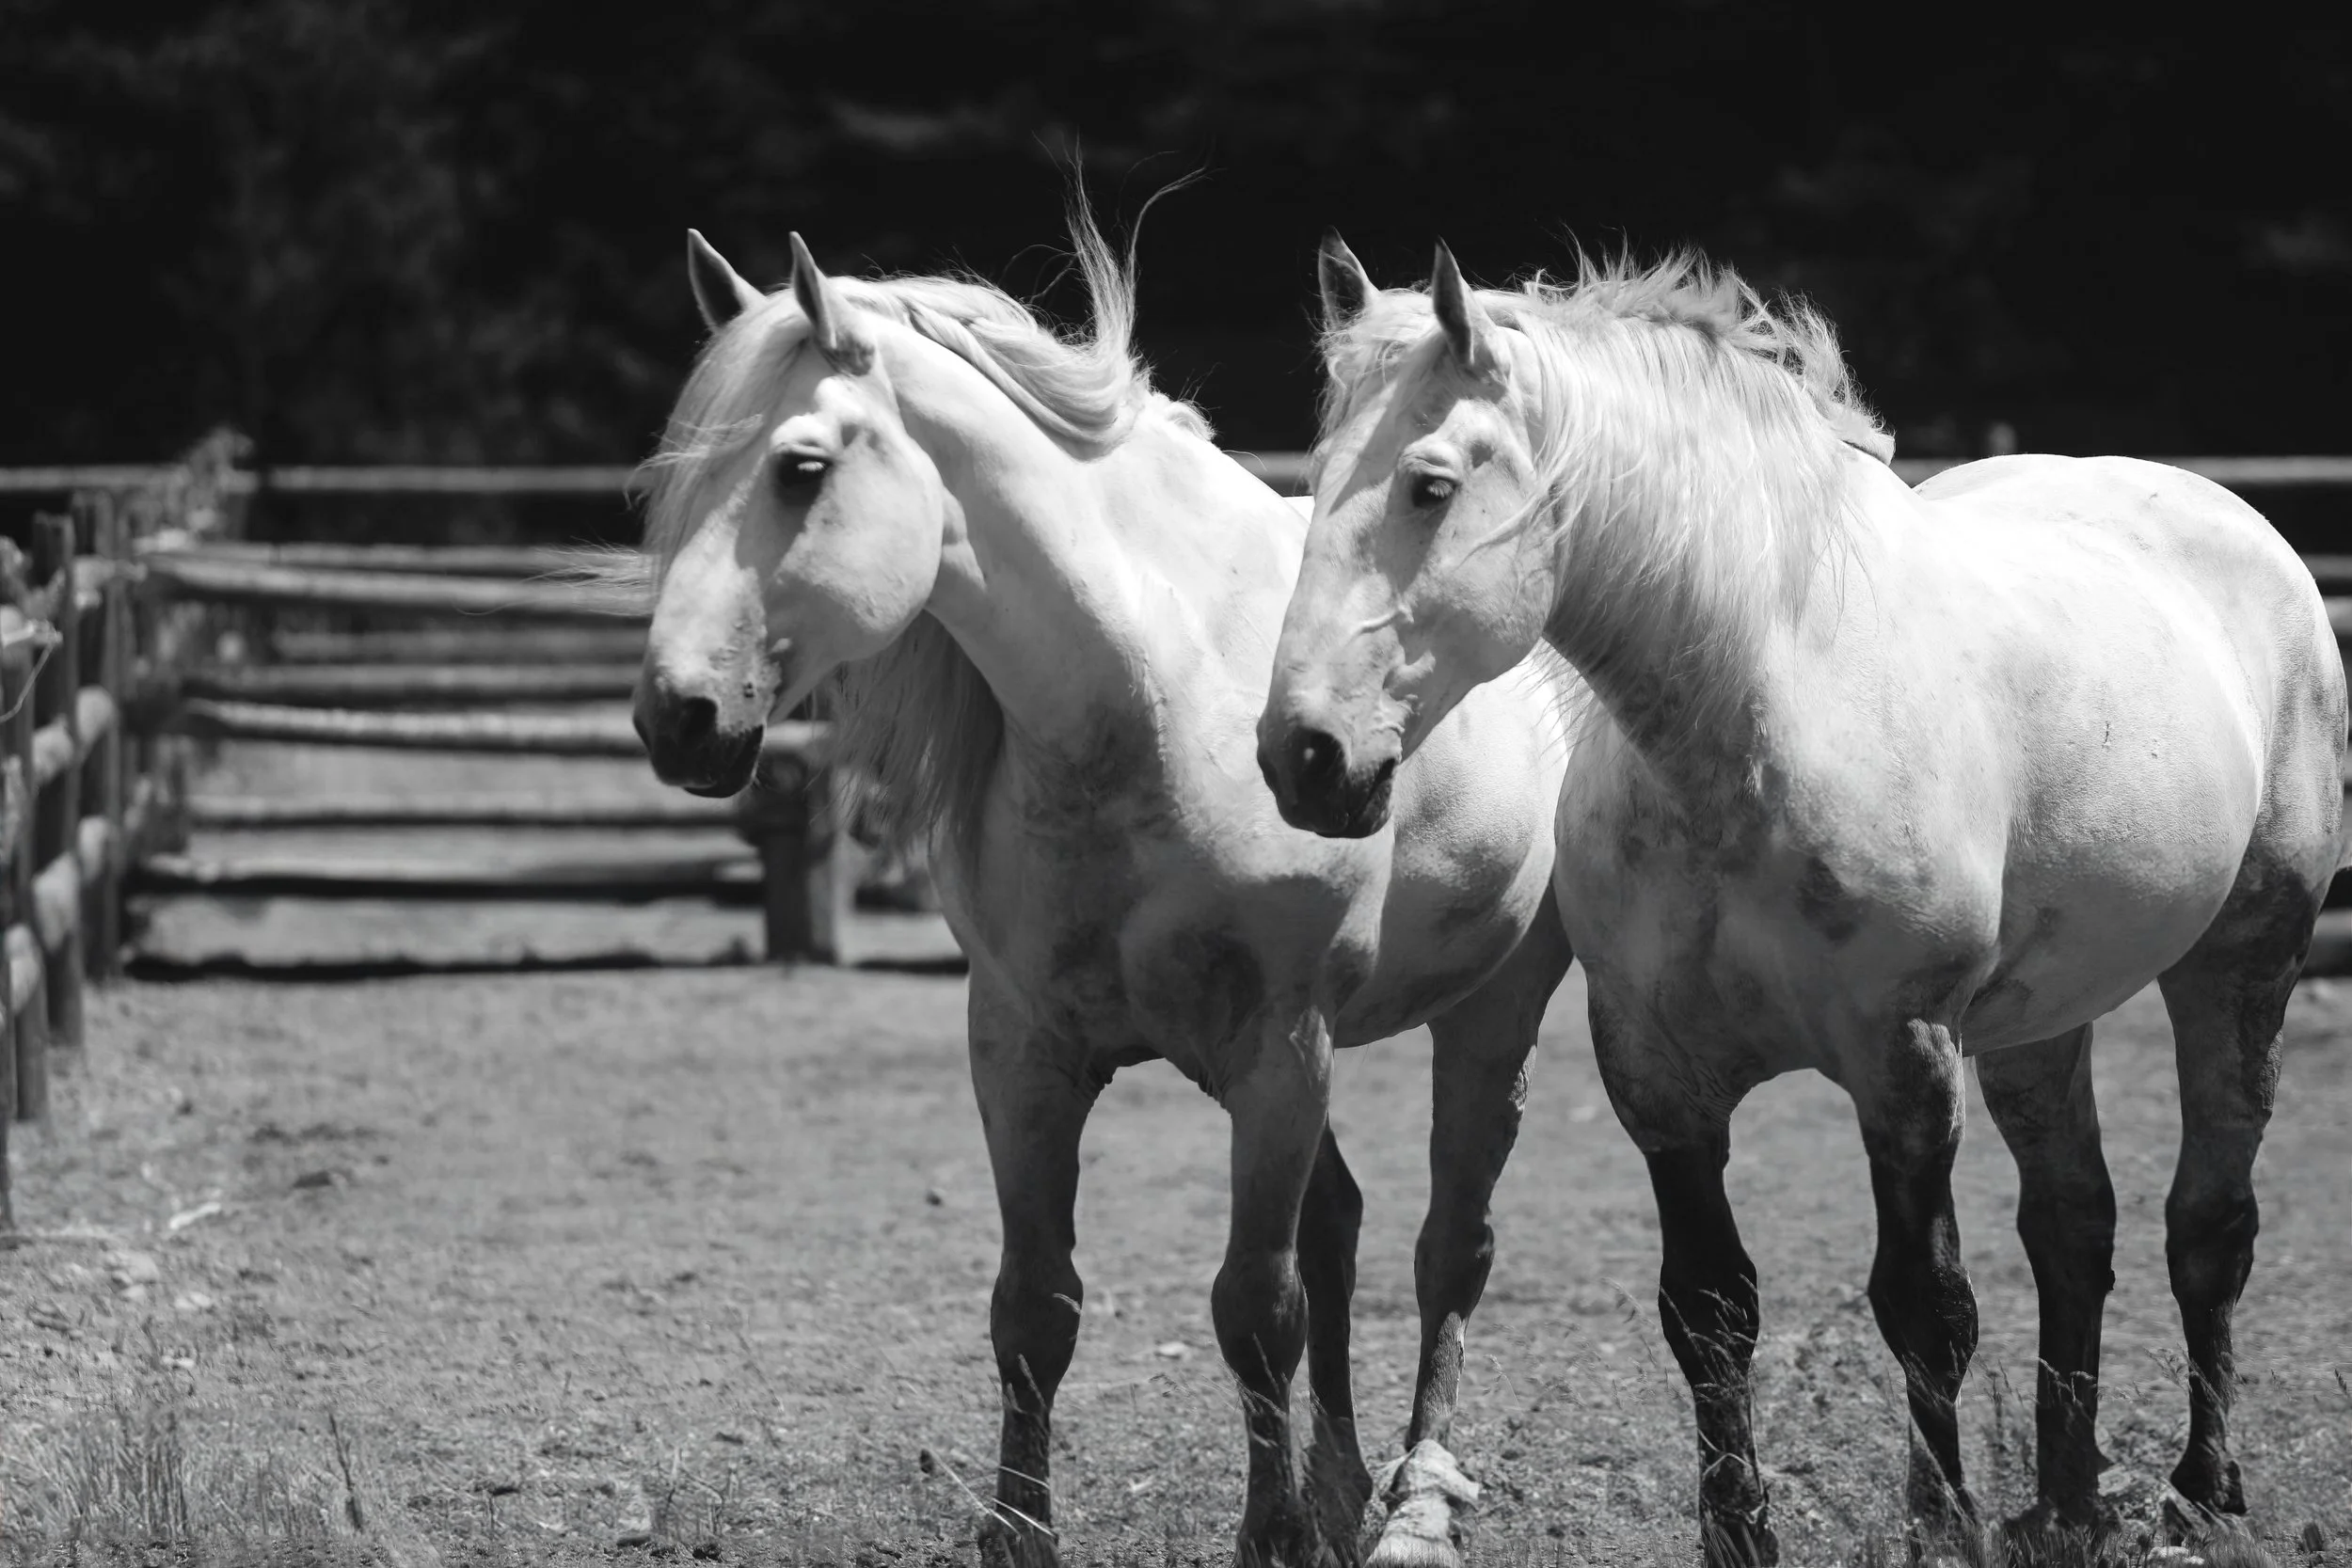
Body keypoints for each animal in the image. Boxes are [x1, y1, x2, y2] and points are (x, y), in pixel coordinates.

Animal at [619, 215, 1580, 1568]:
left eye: (800, 468)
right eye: (677, 482)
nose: (678, 717)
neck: (1150, 698)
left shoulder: (1279, 1044)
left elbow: (1256, 1306)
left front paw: (1270, 1533)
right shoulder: (1022, 1045)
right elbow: (1037, 1304)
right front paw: (1024, 1530)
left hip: (1494, 1009)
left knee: (1450, 1246)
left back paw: (1408, 1505)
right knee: (1340, 1226)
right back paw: (1343, 1491)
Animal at [1256, 234, 2346, 1566]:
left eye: (1427, 484)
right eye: (1314, 481)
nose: (1305, 754)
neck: (1760, 713)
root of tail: (2228, 518)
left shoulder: (1903, 1058)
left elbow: (1925, 1302)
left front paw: (1939, 1524)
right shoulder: (1657, 1078)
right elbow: (1708, 1308)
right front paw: (1741, 1532)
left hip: (2244, 961)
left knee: (2208, 1223)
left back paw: (2201, 1489)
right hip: (2041, 1020)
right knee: (2072, 1227)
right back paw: (2064, 1499)